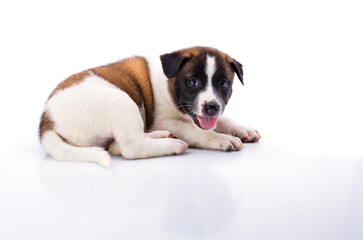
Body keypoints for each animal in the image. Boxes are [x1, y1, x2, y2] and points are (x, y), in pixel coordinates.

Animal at [39, 46, 262, 167]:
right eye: (193, 82)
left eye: (223, 84)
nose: (211, 107)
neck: (169, 83)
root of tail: (47, 122)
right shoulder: (163, 121)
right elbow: (198, 131)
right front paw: (221, 139)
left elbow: (223, 119)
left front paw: (243, 129)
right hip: (122, 101)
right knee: (131, 147)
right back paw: (171, 144)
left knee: (116, 145)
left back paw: (162, 137)